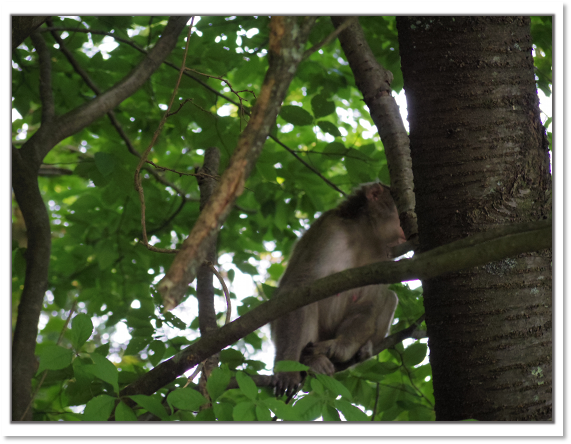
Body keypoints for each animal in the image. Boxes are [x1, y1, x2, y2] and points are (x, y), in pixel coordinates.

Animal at [272, 182, 406, 398]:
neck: (365, 236)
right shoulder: (330, 229)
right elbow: (298, 291)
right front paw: (288, 371)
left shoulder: (384, 258)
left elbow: (369, 299)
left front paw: (340, 348)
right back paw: (310, 361)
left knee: (390, 296)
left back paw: (363, 348)